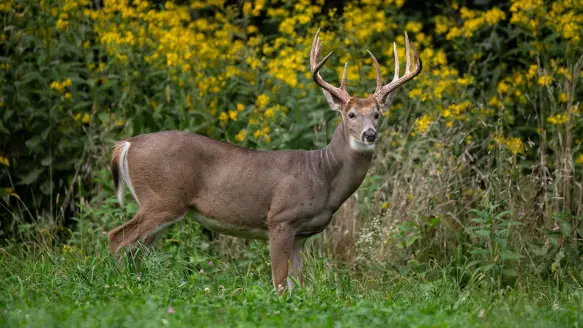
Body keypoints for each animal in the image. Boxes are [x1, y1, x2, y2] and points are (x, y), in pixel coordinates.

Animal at [108, 28, 420, 294]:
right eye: (351, 114)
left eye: (377, 114)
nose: (370, 134)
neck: (322, 174)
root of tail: (127, 144)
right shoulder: (280, 218)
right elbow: (279, 282)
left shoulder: (302, 234)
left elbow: (298, 284)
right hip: (161, 199)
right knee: (117, 237)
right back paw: (117, 285)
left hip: (164, 207)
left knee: (138, 249)